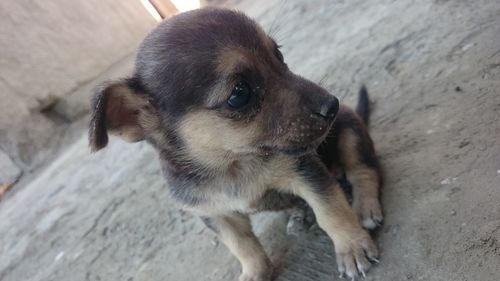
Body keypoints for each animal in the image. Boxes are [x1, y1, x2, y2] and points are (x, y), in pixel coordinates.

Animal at [89, 7, 382, 278]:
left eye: (279, 56)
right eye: (239, 93)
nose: (332, 105)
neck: (232, 163)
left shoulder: (306, 172)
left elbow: (331, 211)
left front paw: (351, 247)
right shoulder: (217, 215)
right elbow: (242, 246)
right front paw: (255, 272)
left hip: (350, 132)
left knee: (363, 169)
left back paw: (365, 206)